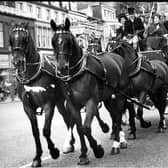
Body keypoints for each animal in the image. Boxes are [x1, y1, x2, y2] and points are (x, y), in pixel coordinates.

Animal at [50, 17, 129, 165]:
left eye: (69, 42)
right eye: (53, 41)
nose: (62, 67)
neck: (77, 74)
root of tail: (117, 57)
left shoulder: (91, 101)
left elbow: (86, 127)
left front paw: (97, 149)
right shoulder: (73, 105)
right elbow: (80, 129)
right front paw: (83, 154)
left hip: (120, 94)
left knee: (118, 115)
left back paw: (117, 142)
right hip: (108, 96)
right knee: (114, 114)